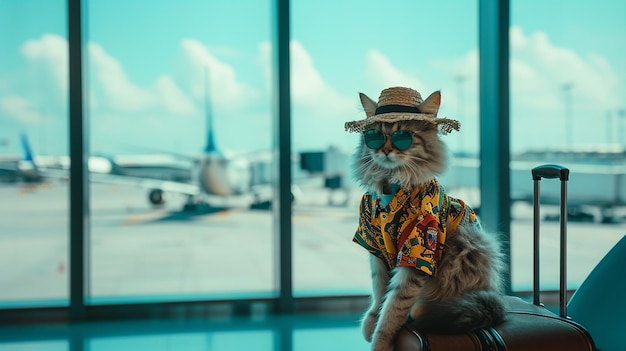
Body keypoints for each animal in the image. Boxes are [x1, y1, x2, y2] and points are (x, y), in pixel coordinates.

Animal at [348, 88, 504, 351]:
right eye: (374, 136)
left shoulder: (416, 256)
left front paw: (379, 343)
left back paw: (422, 310)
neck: (391, 185)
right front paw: (371, 321)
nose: (385, 150)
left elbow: (392, 311)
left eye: (403, 136)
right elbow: (379, 293)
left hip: (467, 245)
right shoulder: (376, 249)